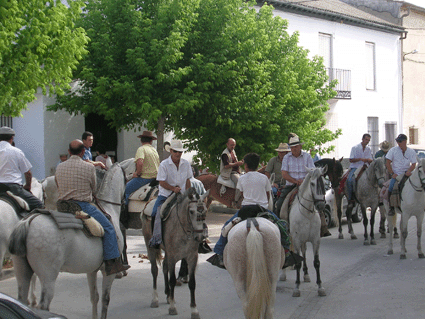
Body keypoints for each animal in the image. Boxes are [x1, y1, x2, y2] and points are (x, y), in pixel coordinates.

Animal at [7, 164, 126, 318]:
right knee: (43, 305)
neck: (109, 209)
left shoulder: (91, 270)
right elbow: (105, 300)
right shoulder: (108, 272)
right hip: (48, 277)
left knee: (21, 298)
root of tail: (28, 221)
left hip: (22, 272)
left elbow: (94, 297)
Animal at [286, 166, 326, 298]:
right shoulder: (297, 240)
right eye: (312, 184)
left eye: (323, 182)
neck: (307, 213)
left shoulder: (316, 240)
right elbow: (297, 262)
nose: (321, 205)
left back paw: (306, 274)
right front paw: (296, 287)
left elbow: (316, 262)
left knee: (303, 252)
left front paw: (320, 287)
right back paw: (282, 275)